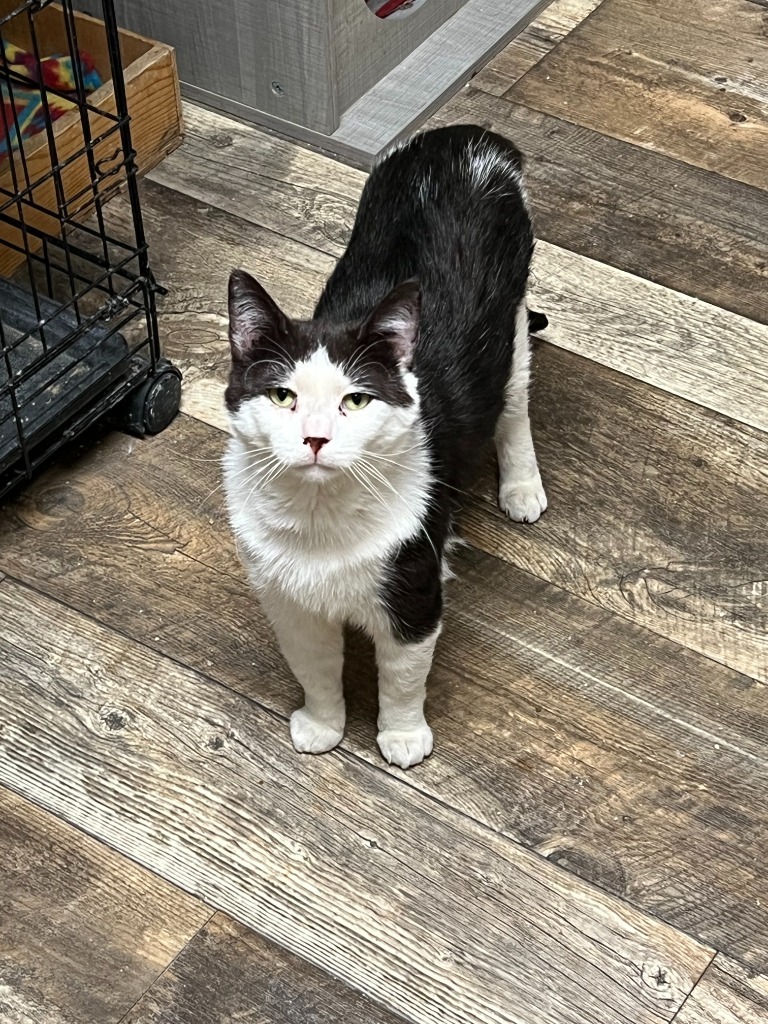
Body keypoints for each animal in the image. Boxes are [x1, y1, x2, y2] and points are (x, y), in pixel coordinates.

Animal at [222, 123, 548, 770]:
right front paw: (323, 725)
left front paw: (402, 737)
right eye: (281, 396)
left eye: (356, 401)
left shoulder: (412, 592)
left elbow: (401, 676)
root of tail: (469, 136)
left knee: (514, 402)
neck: (319, 524)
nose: (315, 438)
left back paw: (522, 485)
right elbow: (315, 667)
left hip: (513, 323)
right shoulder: (287, 602)